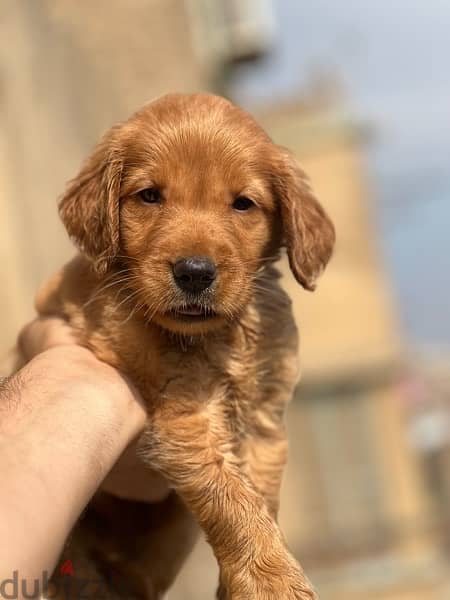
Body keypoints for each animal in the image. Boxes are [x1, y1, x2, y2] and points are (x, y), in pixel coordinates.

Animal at [34, 91, 334, 596]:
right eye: (149, 196)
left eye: (243, 204)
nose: (194, 273)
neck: (223, 336)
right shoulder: (183, 422)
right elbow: (233, 504)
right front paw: (273, 583)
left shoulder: (264, 422)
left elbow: (261, 500)